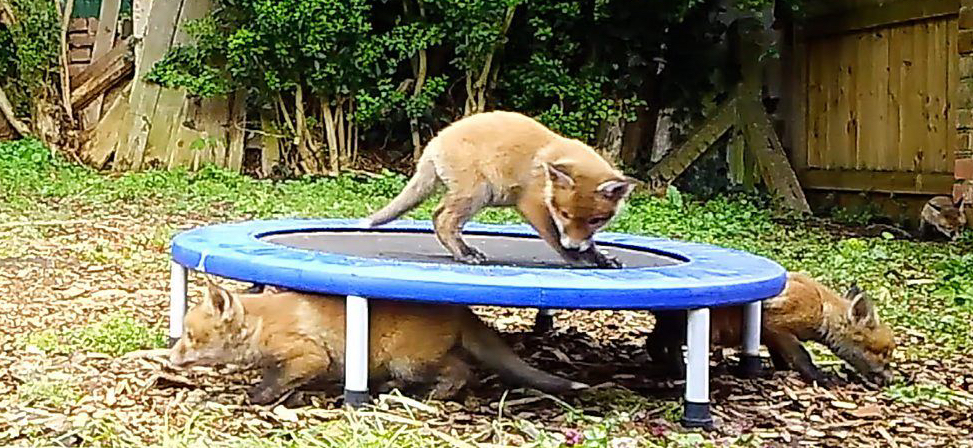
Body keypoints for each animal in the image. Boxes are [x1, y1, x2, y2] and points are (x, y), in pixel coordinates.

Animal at [167, 278, 584, 404]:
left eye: (190, 337)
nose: (170, 359)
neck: (261, 326)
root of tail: (459, 308)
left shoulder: (308, 355)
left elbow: (276, 382)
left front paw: (257, 398)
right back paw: (392, 389)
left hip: (411, 360)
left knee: (463, 370)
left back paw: (435, 396)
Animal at [362, 110, 636, 268]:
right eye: (565, 214)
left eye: (595, 220)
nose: (574, 247)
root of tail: (436, 140)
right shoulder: (533, 205)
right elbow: (556, 238)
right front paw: (579, 259)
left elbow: (589, 242)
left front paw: (599, 257)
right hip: (477, 193)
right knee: (443, 220)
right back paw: (465, 255)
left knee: (437, 215)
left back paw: (463, 251)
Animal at [644, 272, 896, 386]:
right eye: (883, 354)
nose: (892, 380)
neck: (821, 308)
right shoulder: (778, 329)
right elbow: (803, 357)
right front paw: (819, 377)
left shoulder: (772, 337)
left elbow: (782, 359)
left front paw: (777, 371)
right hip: (687, 331)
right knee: (667, 346)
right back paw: (679, 370)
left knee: (652, 343)